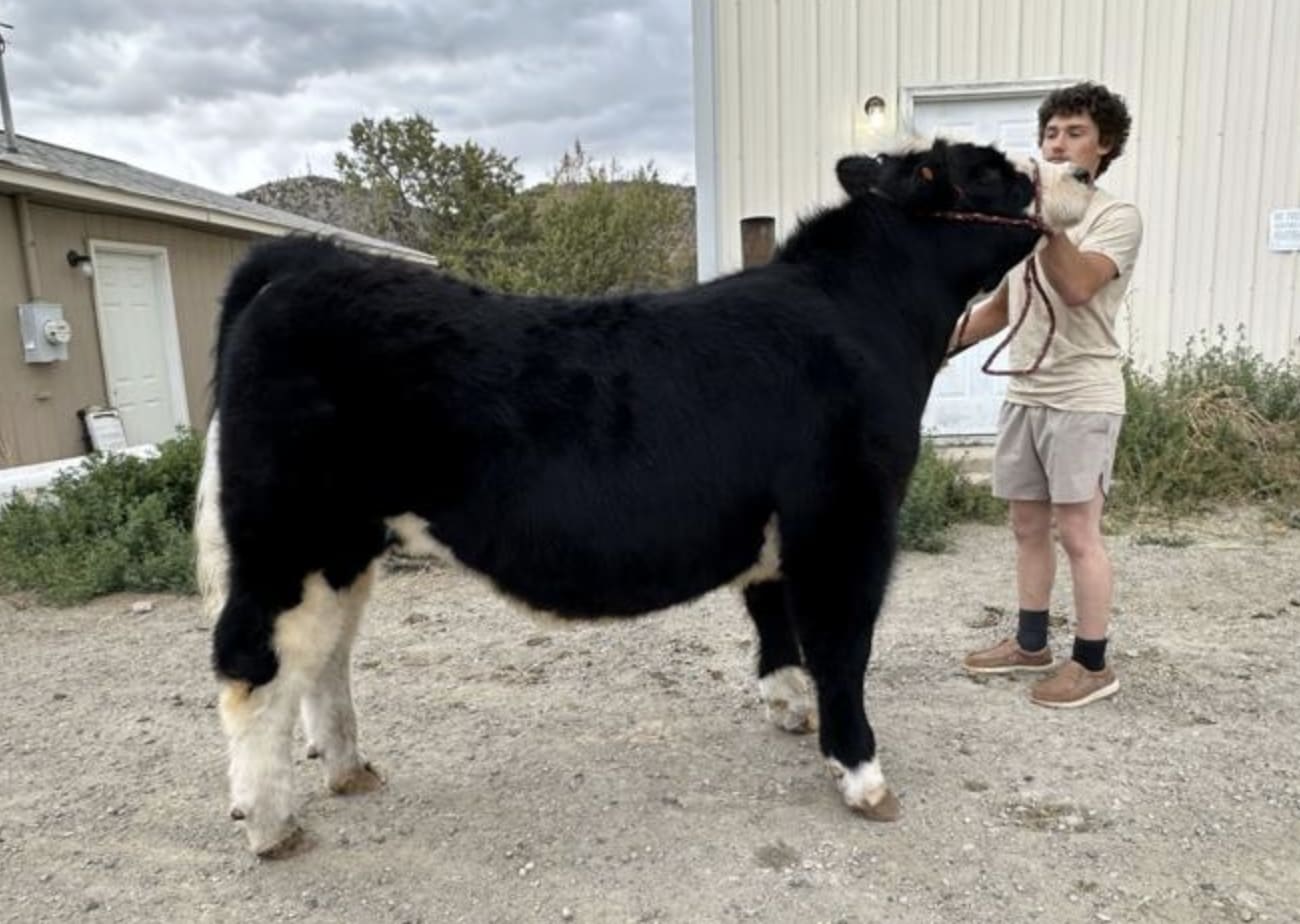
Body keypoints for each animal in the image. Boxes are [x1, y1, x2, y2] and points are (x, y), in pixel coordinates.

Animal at [195, 138, 1093, 857]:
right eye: (995, 171)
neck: (864, 317)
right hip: (287, 538)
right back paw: (272, 824)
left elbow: (773, 617)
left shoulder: (779, 529)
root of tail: (305, 267)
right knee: (253, 665)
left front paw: (787, 707)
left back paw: (349, 769)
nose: (1083, 168)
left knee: (326, 659)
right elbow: (843, 648)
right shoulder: (848, 521)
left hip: (345, 546)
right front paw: (863, 774)